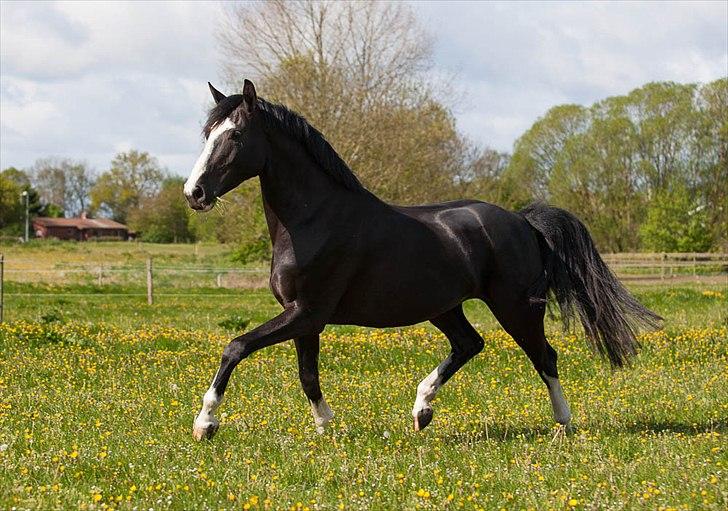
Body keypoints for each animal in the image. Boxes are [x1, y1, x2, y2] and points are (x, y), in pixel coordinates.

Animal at [185, 82, 664, 442]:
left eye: (234, 136)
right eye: (207, 134)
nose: (194, 193)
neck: (313, 220)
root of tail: (523, 220)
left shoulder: (307, 313)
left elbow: (236, 346)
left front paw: (206, 424)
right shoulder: (304, 318)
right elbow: (308, 376)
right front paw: (328, 428)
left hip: (517, 307)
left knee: (544, 356)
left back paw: (562, 424)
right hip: (444, 307)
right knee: (470, 344)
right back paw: (421, 411)